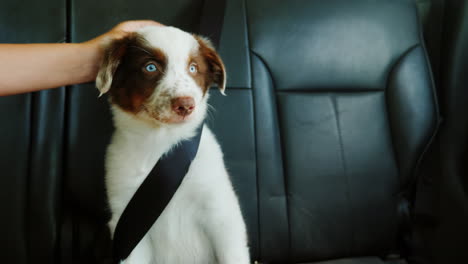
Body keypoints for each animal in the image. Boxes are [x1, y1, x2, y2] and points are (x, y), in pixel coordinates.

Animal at [96, 26, 250, 264]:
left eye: (193, 68)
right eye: (150, 67)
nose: (186, 105)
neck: (162, 140)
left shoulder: (221, 212)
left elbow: (233, 254)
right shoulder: (128, 222)